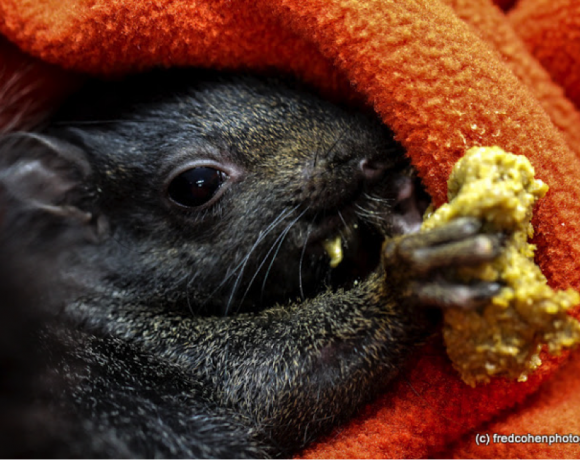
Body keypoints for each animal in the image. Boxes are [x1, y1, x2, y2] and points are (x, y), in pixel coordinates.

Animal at [0, 70, 500, 458]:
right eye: (196, 185)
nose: (375, 155)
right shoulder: (146, 345)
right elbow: (279, 380)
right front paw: (411, 275)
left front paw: (403, 207)